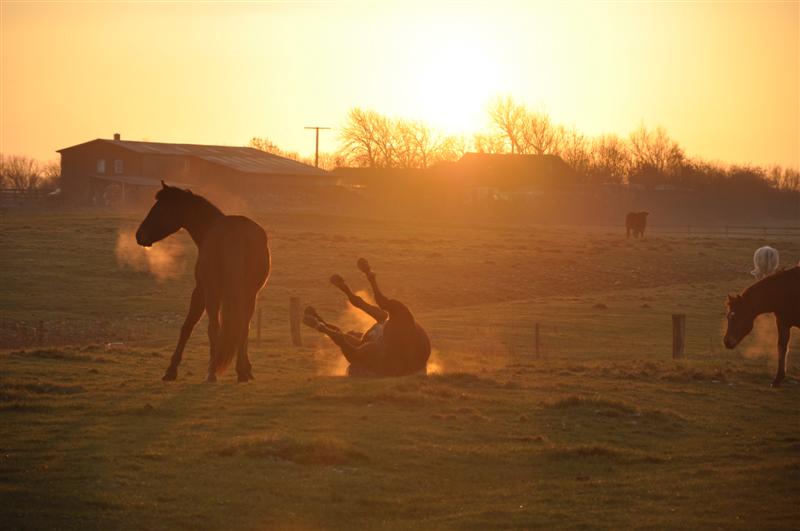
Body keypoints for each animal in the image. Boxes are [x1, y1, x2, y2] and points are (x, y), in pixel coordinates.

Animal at [136, 183, 270, 382]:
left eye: (160, 208)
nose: (139, 235)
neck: (208, 227)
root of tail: (235, 233)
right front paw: (246, 369)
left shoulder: (200, 291)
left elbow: (187, 326)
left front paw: (171, 369)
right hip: (249, 294)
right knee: (243, 327)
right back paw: (242, 370)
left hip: (213, 293)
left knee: (214, 327)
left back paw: (212, 371)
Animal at [302, 258, 432, 378]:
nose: (353, 332)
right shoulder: (360, 342)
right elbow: (338, 330)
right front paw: (314, 316)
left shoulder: (358, 352)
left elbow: (339, 337)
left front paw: (313, 321)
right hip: (387, 316)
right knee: (372, 307)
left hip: (397, 309)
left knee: (382, 302)